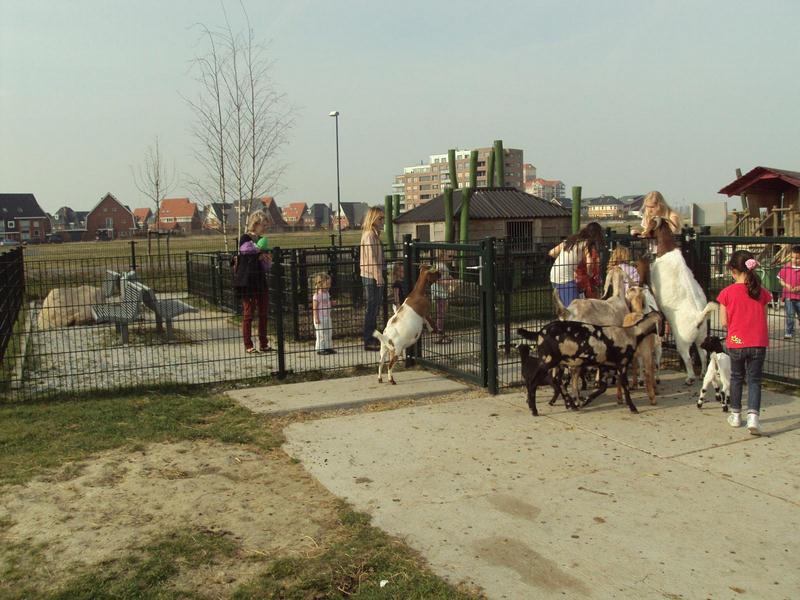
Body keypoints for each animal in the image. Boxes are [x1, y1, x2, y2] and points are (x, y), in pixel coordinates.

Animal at [520, 310, 664, 412]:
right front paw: (633, 408)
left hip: (558, 363)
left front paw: (585, 401)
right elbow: (625, 387)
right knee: (534, 381)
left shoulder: (605, 366)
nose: (662, 335)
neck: (631, 332)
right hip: (548, 361)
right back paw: (534, 409)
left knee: (557, 381)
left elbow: (602, 388)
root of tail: (539, 332)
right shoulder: (622, 364)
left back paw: (571, 405)